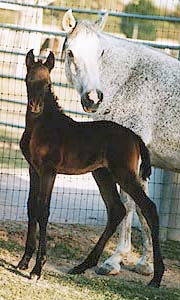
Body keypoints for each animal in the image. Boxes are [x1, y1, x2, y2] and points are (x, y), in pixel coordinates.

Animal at [17, 49, 165, 288]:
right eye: (29, 80)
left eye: (48, 83)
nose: (36, 107)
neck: (40, 127)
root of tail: (135, 137)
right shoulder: (34, 170)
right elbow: (31, 207)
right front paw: (23, 262)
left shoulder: (49, 171)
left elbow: (43, 210)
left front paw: (37, 269)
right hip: (102, 174)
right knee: (117, 210)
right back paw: (83, 265)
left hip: (124, 174)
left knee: (149, 208)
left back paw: (157, 277)